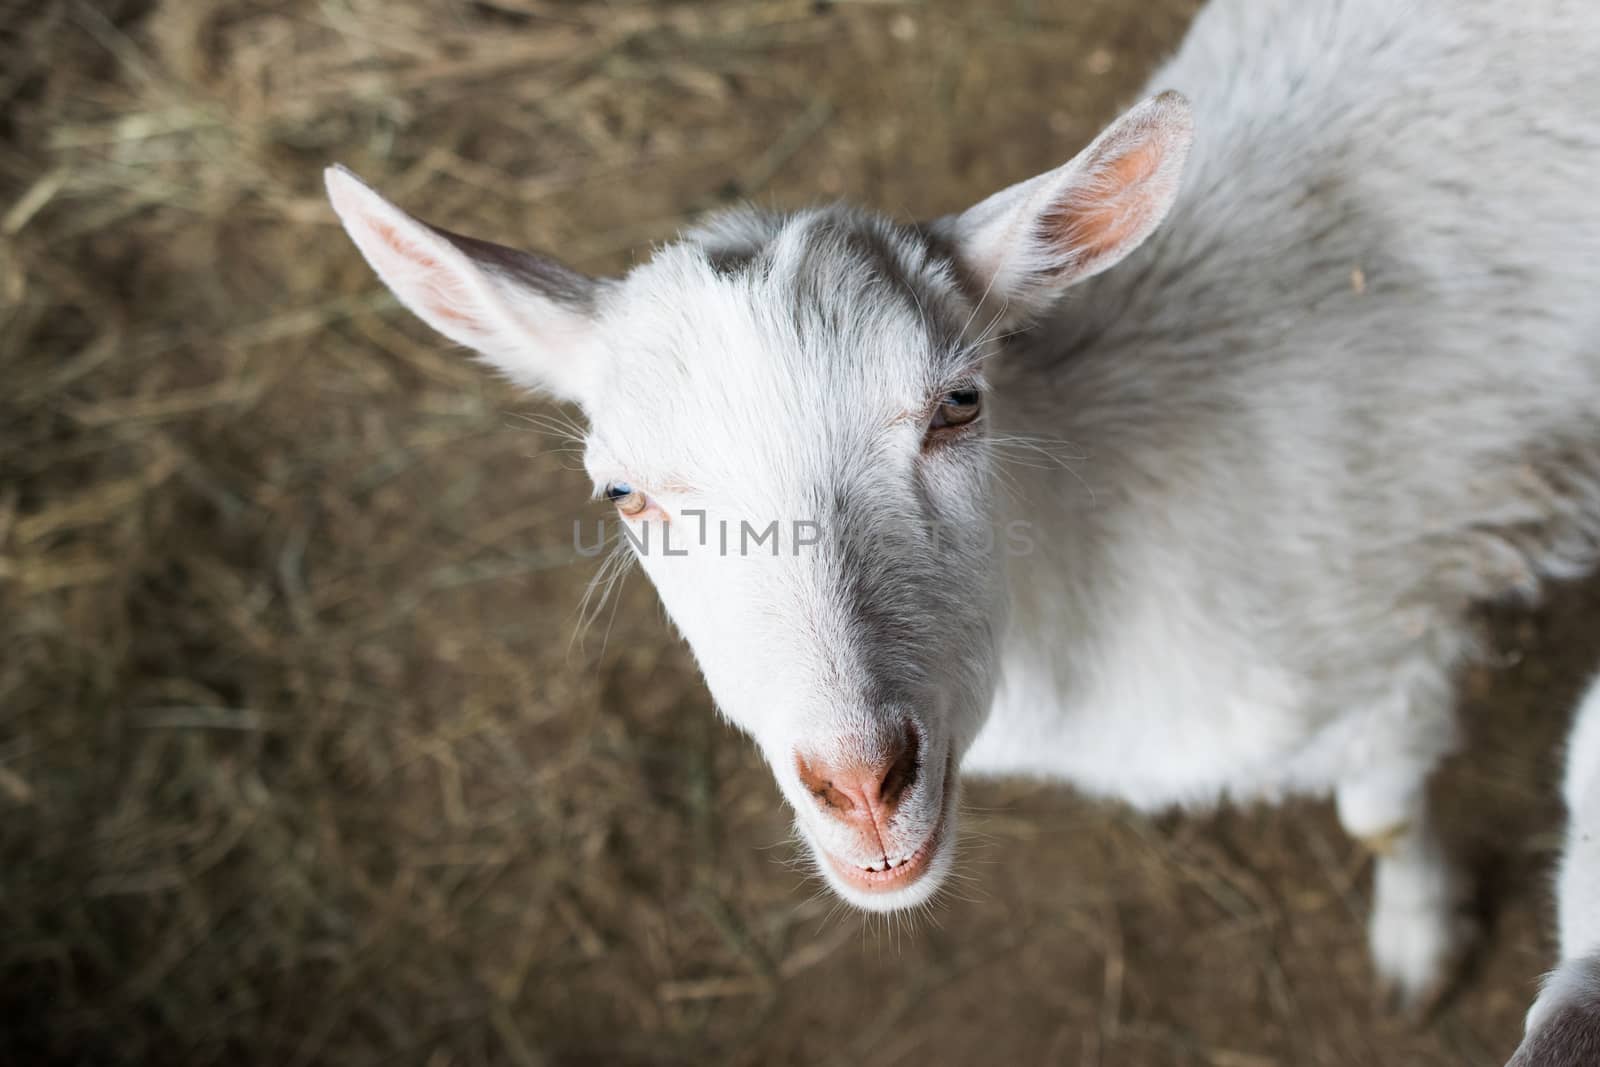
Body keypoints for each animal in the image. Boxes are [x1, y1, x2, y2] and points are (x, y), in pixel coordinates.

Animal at [324, 0, 1600, 1017]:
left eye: (957, 403)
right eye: (621, 491)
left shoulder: (1391, 641)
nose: (860, 784)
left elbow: (1383, 814)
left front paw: (1418, 943)